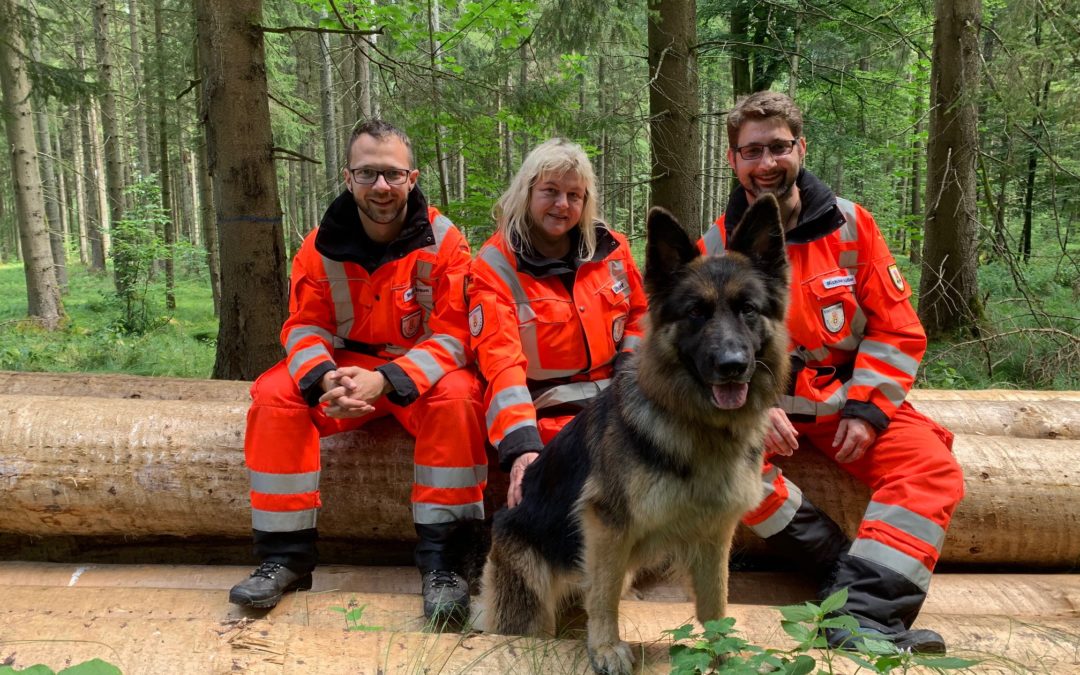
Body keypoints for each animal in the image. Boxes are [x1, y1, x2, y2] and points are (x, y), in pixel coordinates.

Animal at [477, 194, 790, 673]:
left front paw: (724, 653)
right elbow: (603, 597)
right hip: (531, 599)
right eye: (695, 313)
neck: (698, 427)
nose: (733, 366)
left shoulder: (715, 534)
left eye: (748, 310)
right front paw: (606, 648)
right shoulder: (608, 527)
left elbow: (716, 603)